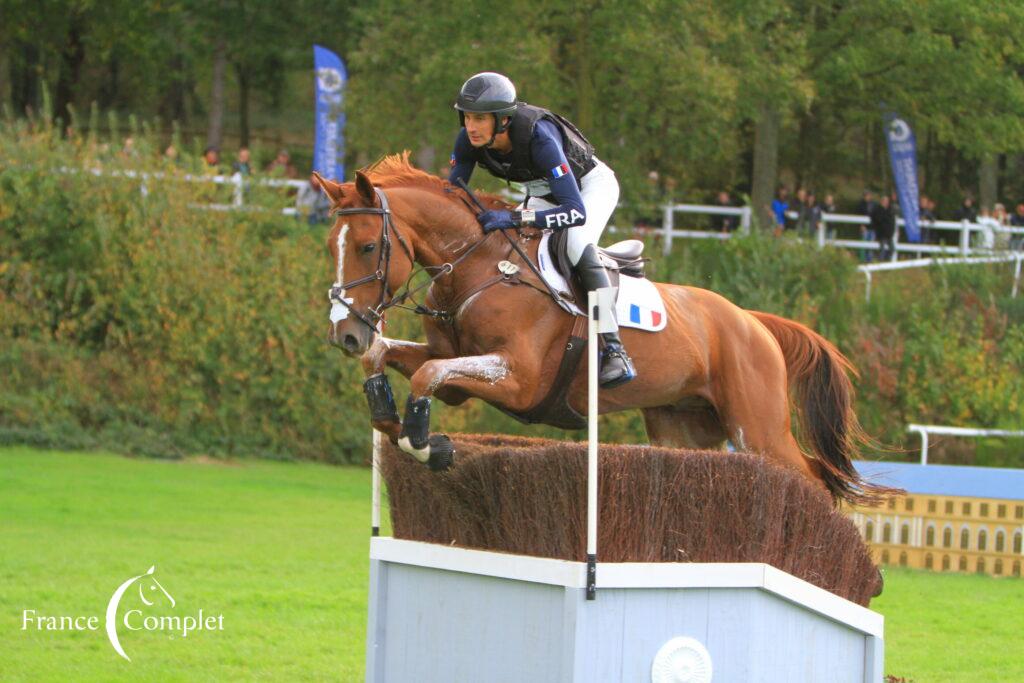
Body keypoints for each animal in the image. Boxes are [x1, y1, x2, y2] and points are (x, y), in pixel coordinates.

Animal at [311, 154, 888, 507]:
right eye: (330, 246)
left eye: (367, 246)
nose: (344, 335)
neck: (477, 269)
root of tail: (753, 321)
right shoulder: (457, 380)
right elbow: (396, 363)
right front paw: (392, 419)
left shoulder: (518, 380)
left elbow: (427, 374)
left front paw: (428, 447)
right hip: (685, 430)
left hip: (758, 428)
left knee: (813, 477)